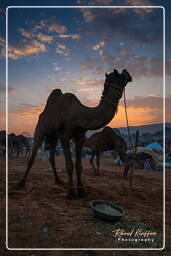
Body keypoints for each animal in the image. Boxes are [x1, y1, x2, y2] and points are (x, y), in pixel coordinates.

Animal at [16, 69, 132, 199]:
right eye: (119, 74)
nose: (128, 74)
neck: (78, 115)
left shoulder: (80, 136)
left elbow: (79, 166)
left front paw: (81, 191)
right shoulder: (64, 135)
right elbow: (69, 165)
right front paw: (71, 192)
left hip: (53, 137)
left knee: (51, 157)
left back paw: (58, 180)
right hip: (40, 129)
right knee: (33, 155)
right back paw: (21, 183)